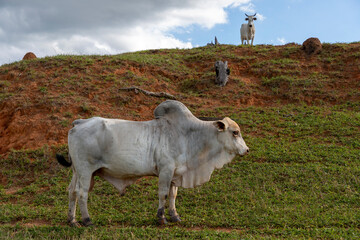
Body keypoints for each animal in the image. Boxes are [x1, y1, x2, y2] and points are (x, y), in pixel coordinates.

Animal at [56, 100, 249, 227]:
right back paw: (87, 220)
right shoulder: (166, 170)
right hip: (86, 170)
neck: (188, 136)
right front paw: (161, 218)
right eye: (235, 132)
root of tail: (79, 123)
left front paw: (175, 216)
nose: (246, 150)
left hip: (78, 172)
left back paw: (72, 220)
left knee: (72, 192)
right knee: (82, 193)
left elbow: (173, 195)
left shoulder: (175, 174)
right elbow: (163, 194)